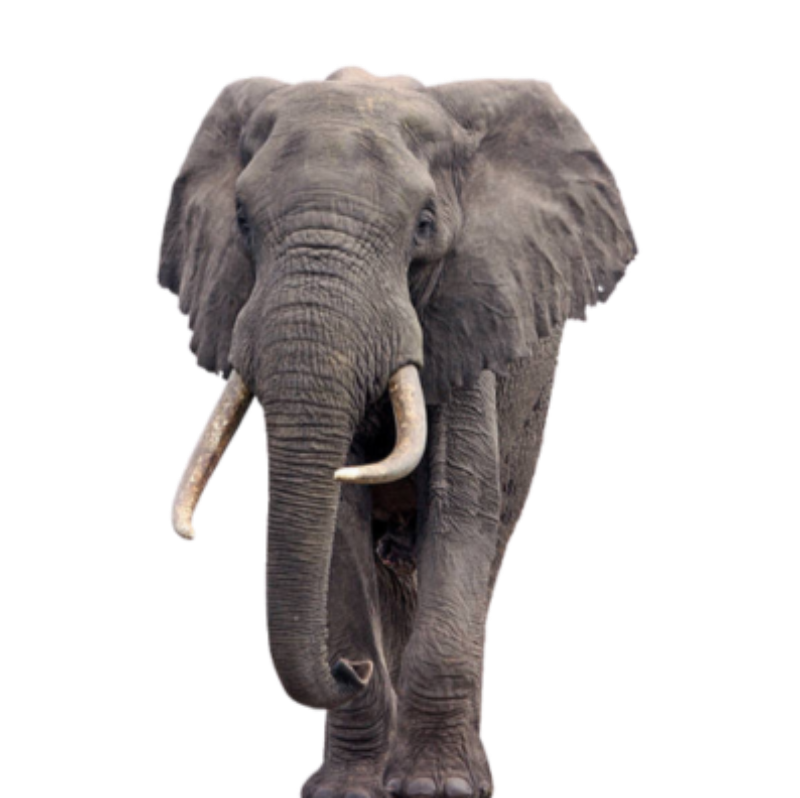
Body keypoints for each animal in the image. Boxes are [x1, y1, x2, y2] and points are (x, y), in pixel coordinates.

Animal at [156, 65, 638, 798]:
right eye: (240, 220)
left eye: (425, 224)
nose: (346, 670)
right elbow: (339, 529)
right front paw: (347, 788)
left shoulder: (470, 312)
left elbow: (461, 507)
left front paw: (442, 788)